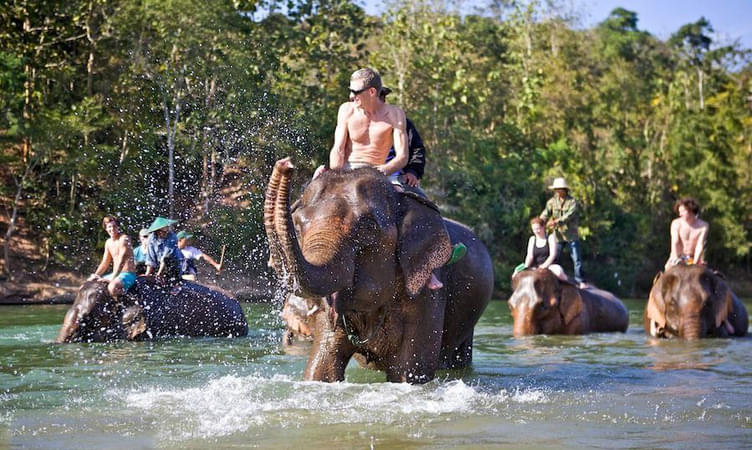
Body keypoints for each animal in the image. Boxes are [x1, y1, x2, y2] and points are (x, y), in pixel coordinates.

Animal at [264, 157, 494, 383]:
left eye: (367, 228)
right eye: (297, 226)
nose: (285, 164)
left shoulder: (428, 290)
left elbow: (409, 371)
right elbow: (323, 367)